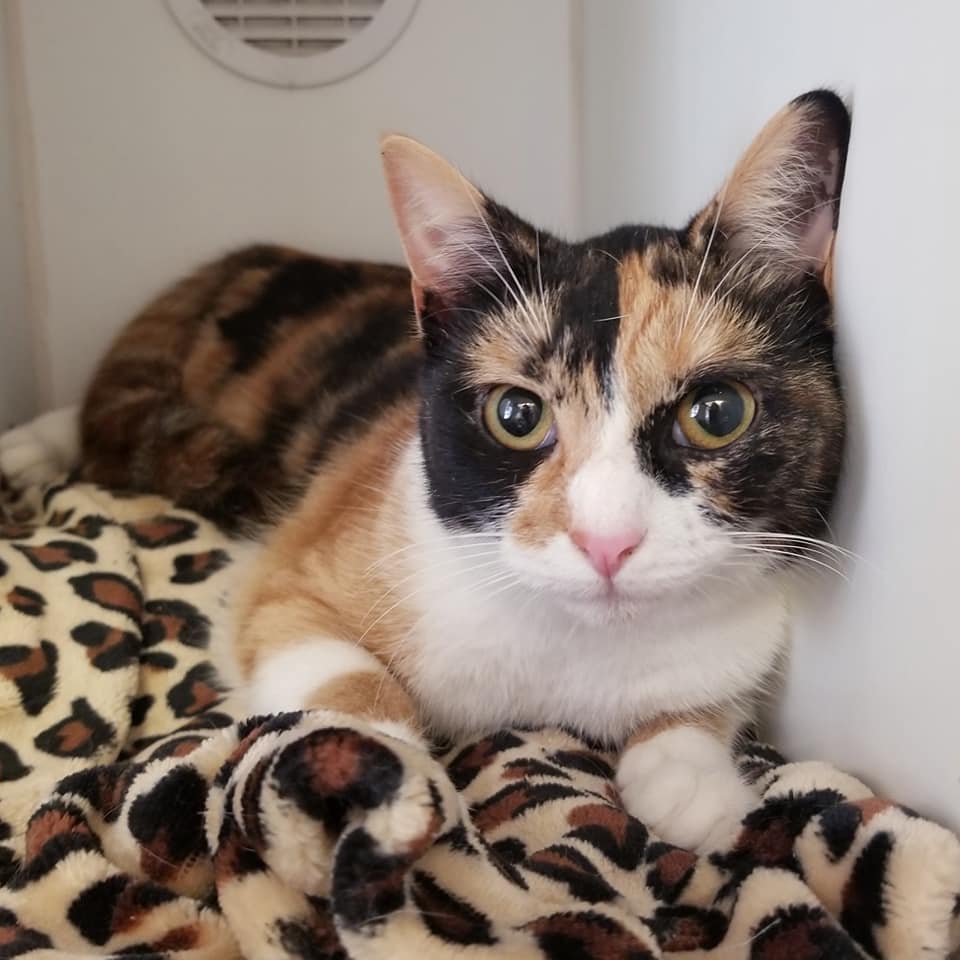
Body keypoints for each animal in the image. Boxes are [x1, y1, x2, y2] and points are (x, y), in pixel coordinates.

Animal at [65, 92, 848, 856]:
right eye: (516, 414)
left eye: (717, 413)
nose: (606, 542)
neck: (571, 649)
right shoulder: (287, 574)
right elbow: (331, 662)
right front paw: (376, 777)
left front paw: (691, 777)